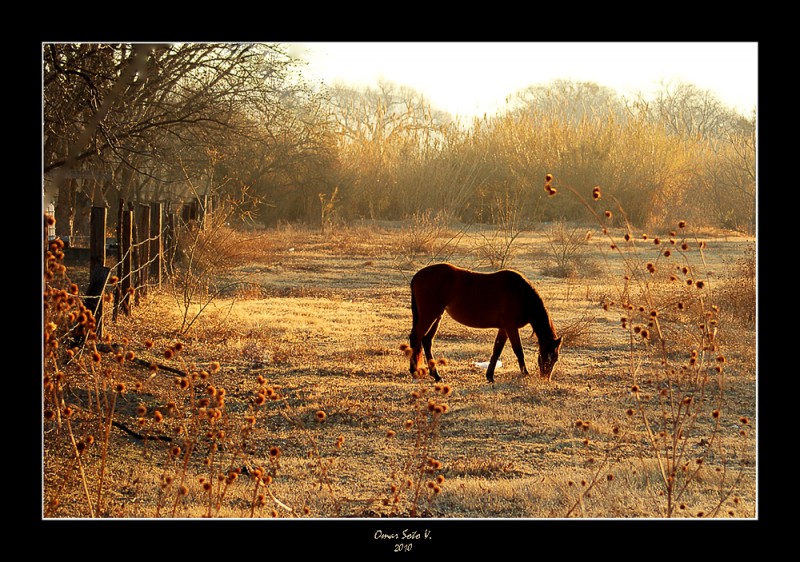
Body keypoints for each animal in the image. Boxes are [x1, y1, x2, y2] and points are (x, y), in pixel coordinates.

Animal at [406, 262, 564, 382]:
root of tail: (418, 275)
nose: (545, 378)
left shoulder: (504, 328)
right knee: (416, 337)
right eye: (548, 356)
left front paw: (490, 376)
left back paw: (436, 375)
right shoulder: (511, 327)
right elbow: (519, 351)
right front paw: (525, 374)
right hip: (429, 315)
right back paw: (415, 371)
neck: (521, 294)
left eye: (556, 359)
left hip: (437, 316)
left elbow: (497, 350)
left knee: (426, 340)